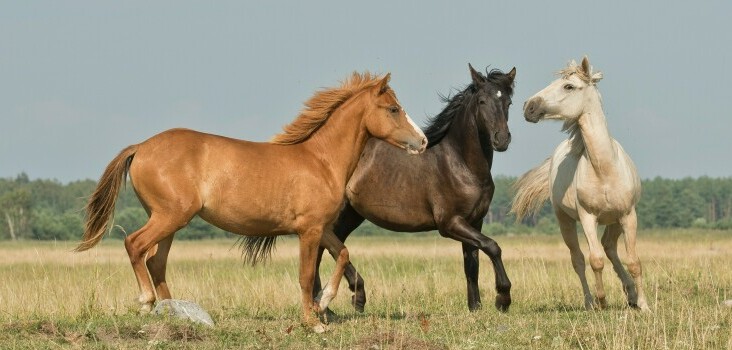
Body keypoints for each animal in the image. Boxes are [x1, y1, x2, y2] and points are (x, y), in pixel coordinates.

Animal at [73, 72, 428, 332]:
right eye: (393, 109)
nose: (422, 141)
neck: (321, 161)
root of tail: (141, 146)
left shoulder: (321, 227)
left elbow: (342, 254)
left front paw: (324, 303)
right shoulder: (309, 231)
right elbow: (305, 275)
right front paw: (313, 322)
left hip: (169, 221)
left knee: (155, 261)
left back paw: (174, 313)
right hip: (169, 216)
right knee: (135, 245)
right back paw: (147, 302)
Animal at [314, 65, 516, 312]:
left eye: (508, 102)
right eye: (482, 101)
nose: (502, 139)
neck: (461, 164)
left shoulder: (474, 221)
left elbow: (472, 263)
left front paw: (475, 307)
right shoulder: (450, 223)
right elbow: (492, 246)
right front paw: (502, 298)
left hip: (350, 215)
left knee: (331, 245)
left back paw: (338, 301)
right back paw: (338, 300)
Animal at [512, 56, 648, 310]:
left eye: (569, 86)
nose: (528, 106)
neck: (604, 170)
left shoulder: (628, 216)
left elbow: (634, 261)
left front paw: (644, 305)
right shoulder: (587, 217)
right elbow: (595, 260)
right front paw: (602, 301)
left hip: (615, 220)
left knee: (609, 247)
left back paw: (631, 294)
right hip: (565, 220)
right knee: (579, 260)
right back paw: (590, 302)